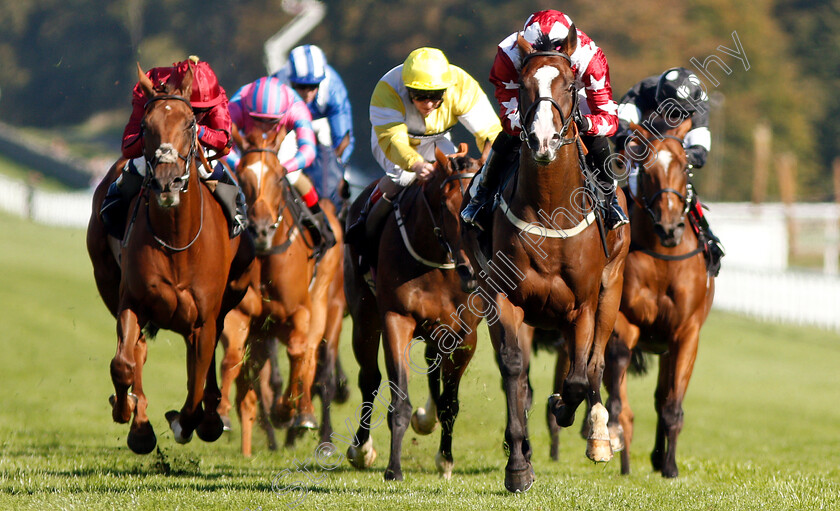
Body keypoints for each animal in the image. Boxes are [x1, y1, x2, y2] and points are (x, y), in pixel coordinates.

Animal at [88, 65, 256, 456]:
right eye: (145, 125)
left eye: (191, 123)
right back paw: (139, 421)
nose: (167, 183)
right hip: (106, 280)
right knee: (137, 353)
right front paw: (128, 413)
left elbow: (196, 385)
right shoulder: (132, 300)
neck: (178, 241)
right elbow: (123, 363)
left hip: (231, 296)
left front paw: (190, 421)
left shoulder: (203, 319)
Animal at [218, 123, 346, 456]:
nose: (261, 229)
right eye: (241, 175)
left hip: (326, 302)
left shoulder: (299, 311)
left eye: (278, 177)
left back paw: (306, 417)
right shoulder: (242, 314)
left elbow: (301, 355)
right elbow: (233, 358)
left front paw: (291, 412)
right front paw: (222, 414)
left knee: (313, 360)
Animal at [342, 143, 486, 480]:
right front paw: (393, 468)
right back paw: (361, 449)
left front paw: (446, 459)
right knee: (370, 378)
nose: (471, 271)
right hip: (364, 318)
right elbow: (399, 400)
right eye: (446, 205)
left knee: (433, 365)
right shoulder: (397, 319)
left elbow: (450, 402)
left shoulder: (466, 334)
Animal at [460, 31, 632, 492]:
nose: (541, 140)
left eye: (570, 86)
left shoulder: (583, 304)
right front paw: (518, 466)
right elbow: (515, 370)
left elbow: (578, 375)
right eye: (523, 85)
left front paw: (566, 410)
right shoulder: (504, 298)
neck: (552, 209)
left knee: (595, 364)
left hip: (611, 290)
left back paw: (598, 437)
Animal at [604, 120, 716, 476]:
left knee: (662, 396)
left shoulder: (685, 333)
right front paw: (613, 429)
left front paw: (669, 466)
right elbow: (618, 379)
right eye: (648, 169)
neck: (663, 257)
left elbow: (671, 404)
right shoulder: (624, 322)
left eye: (683, 165)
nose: (670, 228)